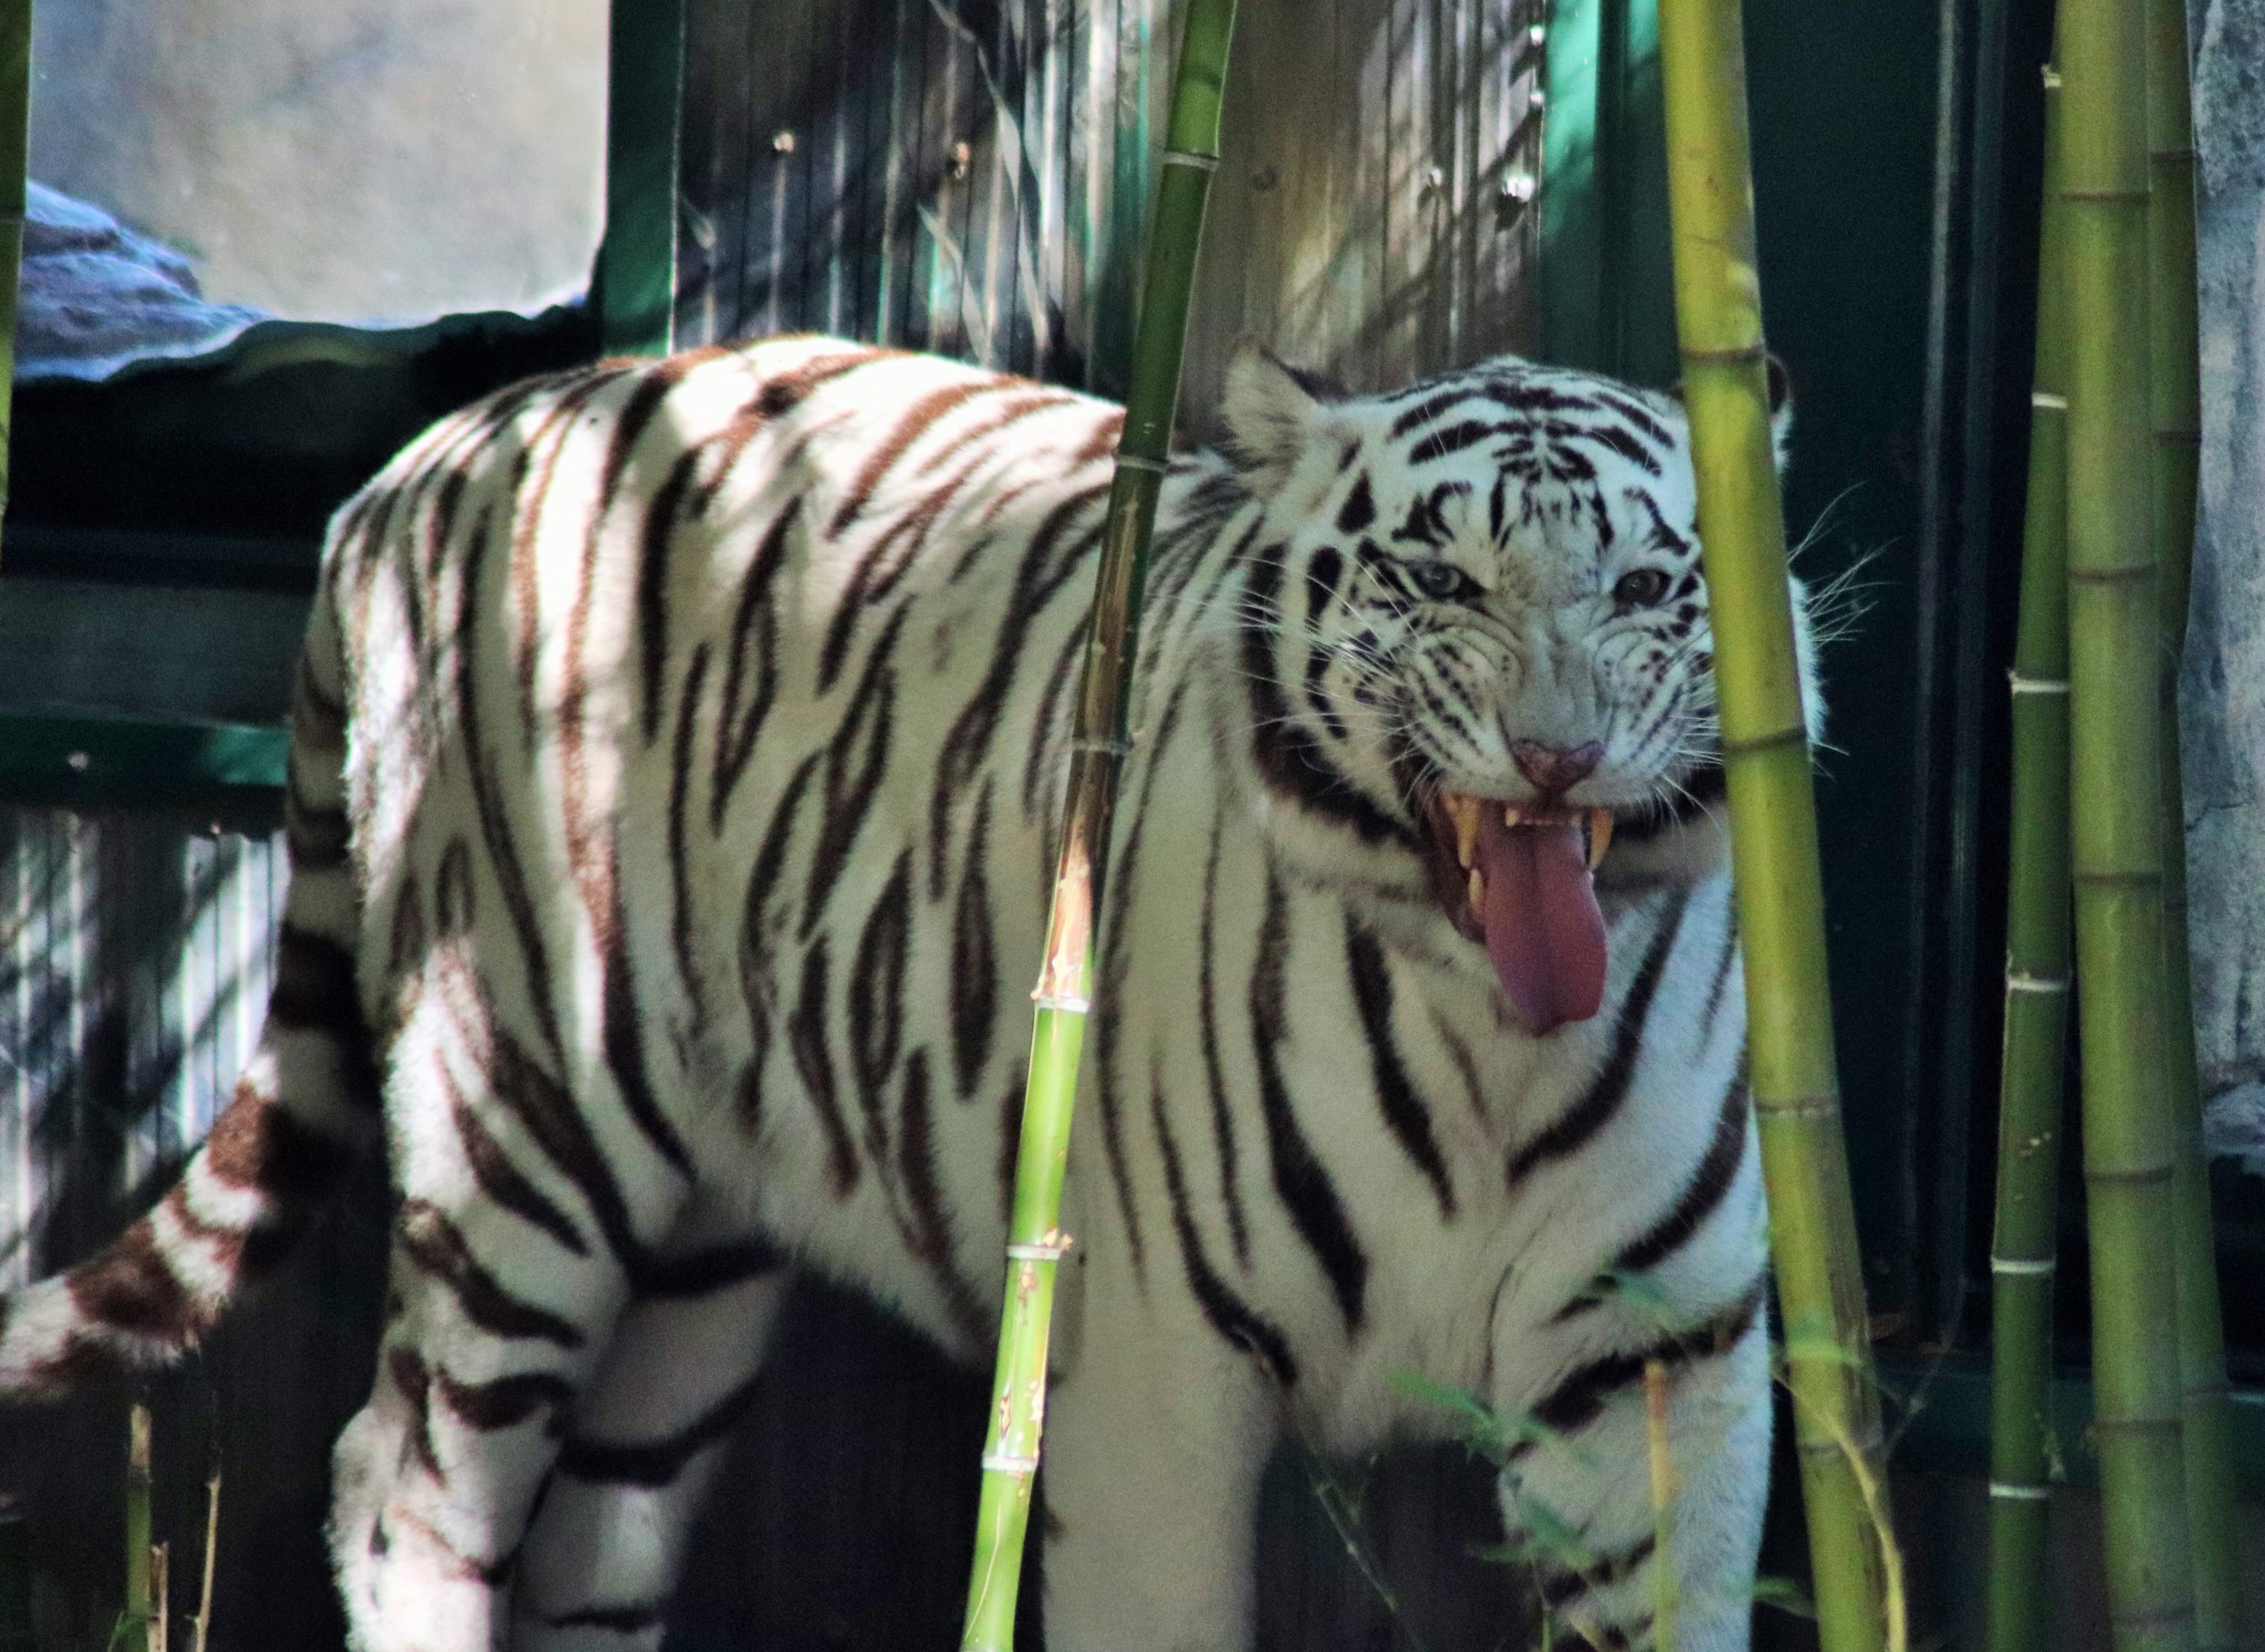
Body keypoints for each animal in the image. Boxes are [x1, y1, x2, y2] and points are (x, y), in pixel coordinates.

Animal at [0, 333, 1808, 1652]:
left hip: (697, 1256)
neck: (1489, 1033)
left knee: (595, 1537)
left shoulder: (1660, 1369)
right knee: (404, 1485)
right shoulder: (1156, 1373)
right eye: (1445, 586)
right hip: (516, 1116)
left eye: (1648, 591)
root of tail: (421, 460)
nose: (1557, 754)